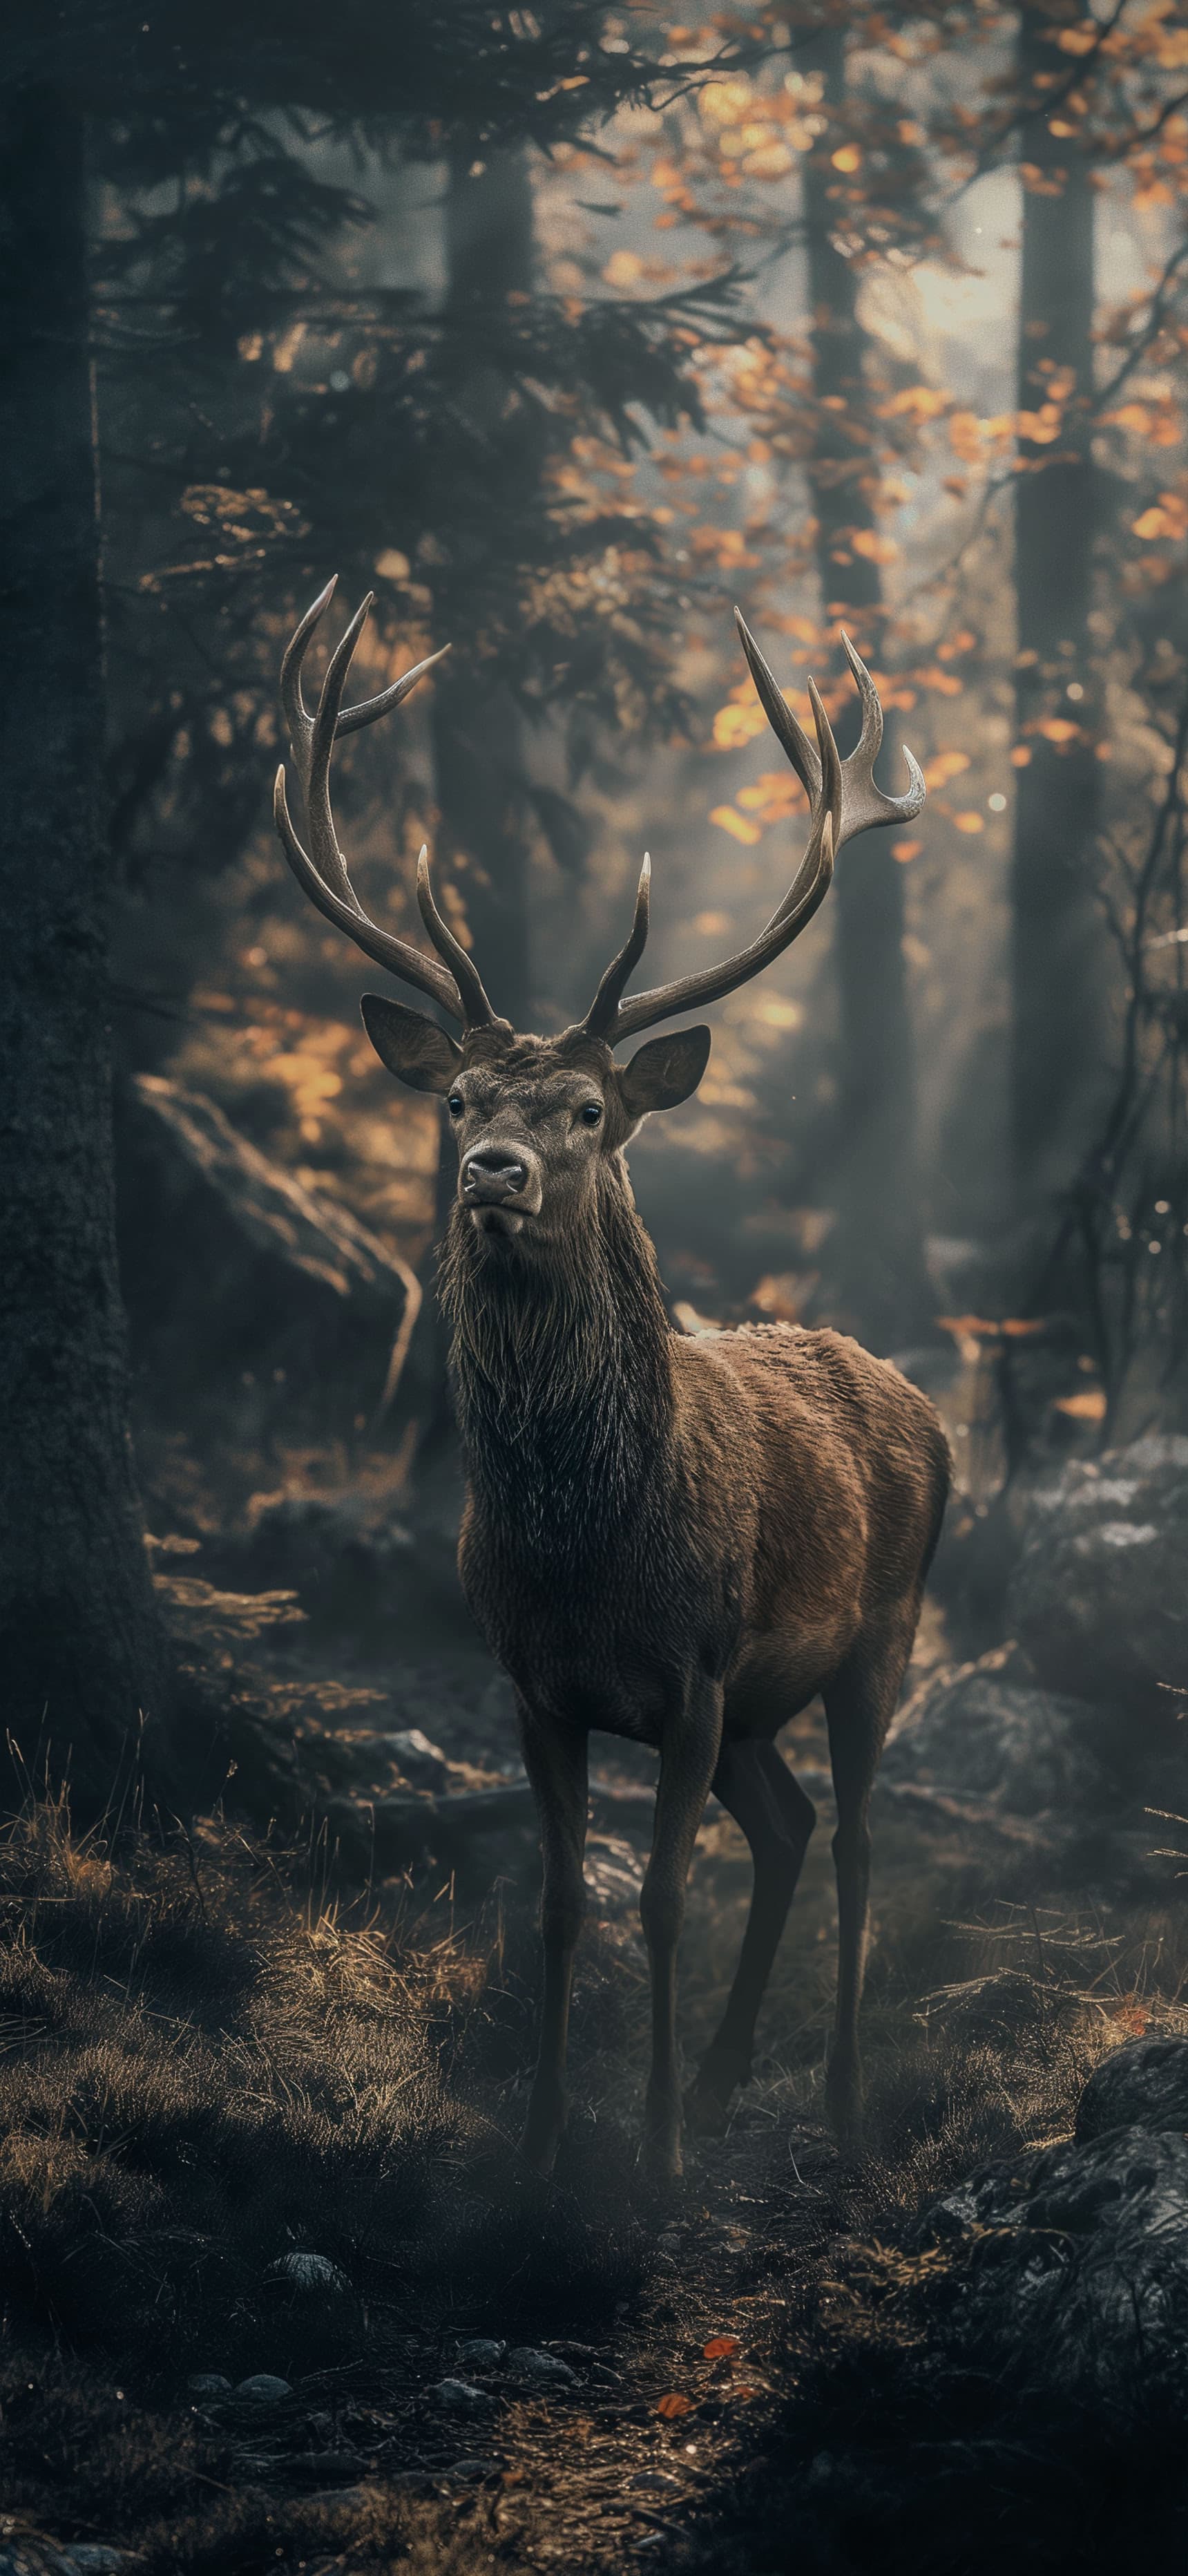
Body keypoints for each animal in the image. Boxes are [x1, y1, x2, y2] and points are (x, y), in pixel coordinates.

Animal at [274, 578, 950, 2187]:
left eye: (586, 1109)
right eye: (461, 1095)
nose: (491, 1172)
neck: (587, 1547)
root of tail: (929, 1409)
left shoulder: (697, 1669)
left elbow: (658, 1898)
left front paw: (647, 2159)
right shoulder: (535, 1682)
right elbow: (562, 1900)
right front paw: (542, 2146)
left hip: (878, 1631)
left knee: (852, 1840)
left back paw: (833, 2099)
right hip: (768, 1704)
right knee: (785, 1825)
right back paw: (721, 2078)